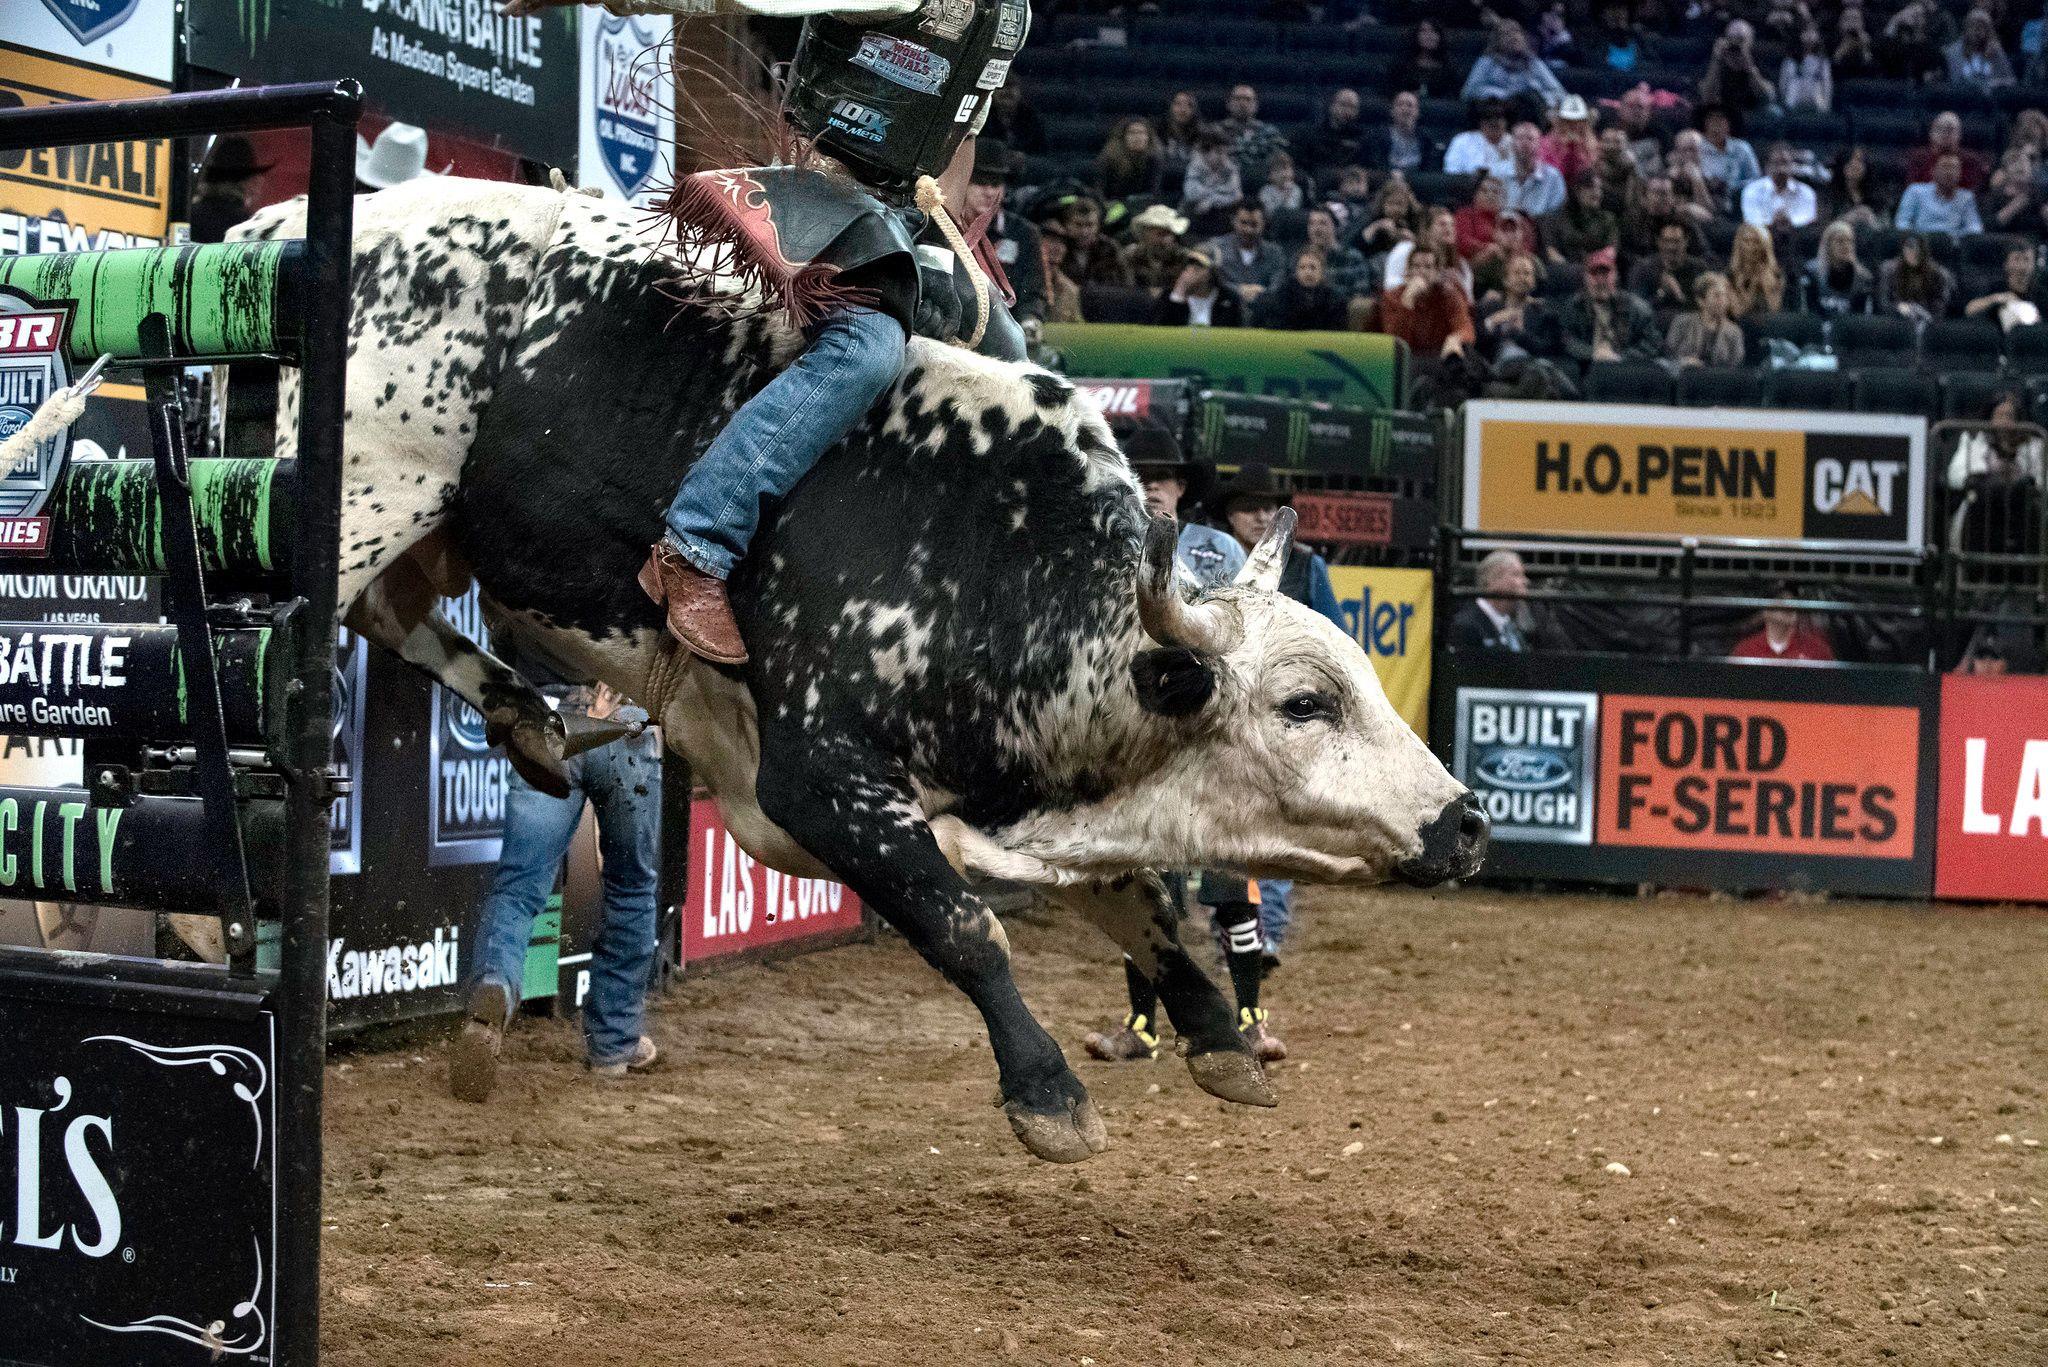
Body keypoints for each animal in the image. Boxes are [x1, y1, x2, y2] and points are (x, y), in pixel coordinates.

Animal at [239, 177, 1487, 1163]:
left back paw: (531, 724)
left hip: (431, 525)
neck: (991, 567)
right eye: (1302, 701)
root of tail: (297, 222)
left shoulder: (1017, 804)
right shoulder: (818, 783)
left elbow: (1145, 907)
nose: (1465, 822)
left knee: (397, 609)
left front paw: (1219, 1040)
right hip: (362, 491)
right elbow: (965, 926)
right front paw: (1049, 1093)